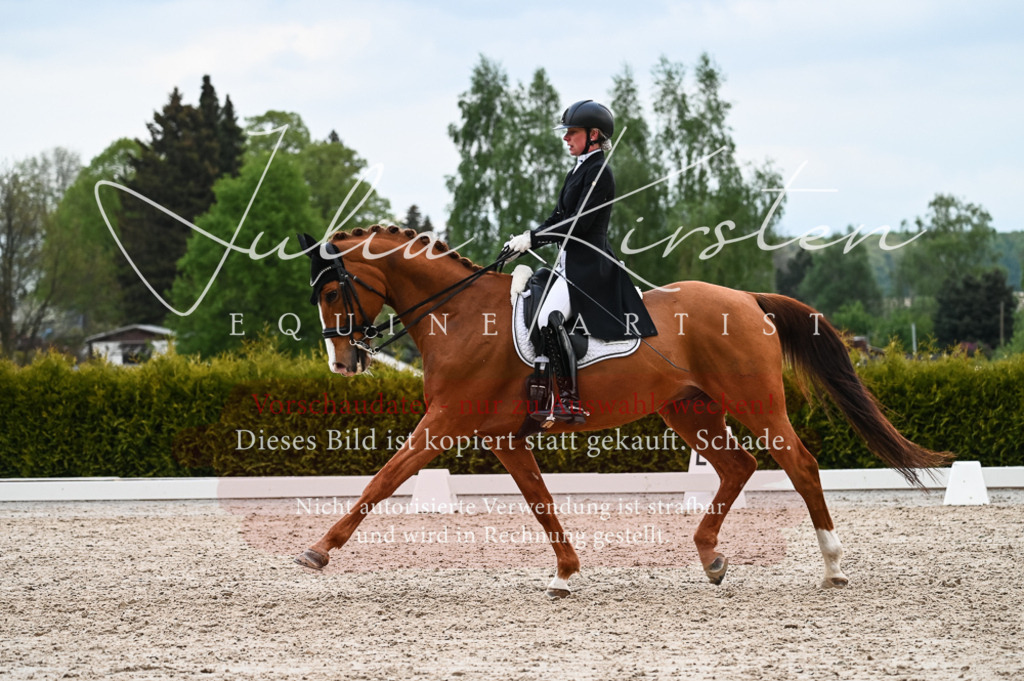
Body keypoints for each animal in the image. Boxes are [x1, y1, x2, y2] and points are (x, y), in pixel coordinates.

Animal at [293, 224, 948, 597]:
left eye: (333, 290)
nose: (342, 363)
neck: (458, 314)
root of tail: (746, 298)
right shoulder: (504, 437)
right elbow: (540, 501)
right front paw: (564, 573)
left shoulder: (446, 421)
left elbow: (383, 479)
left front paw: (318, 551)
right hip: (690, 410)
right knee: (738, 467)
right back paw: (710, 558)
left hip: (753, 400)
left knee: (801, 465)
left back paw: (832, 568)